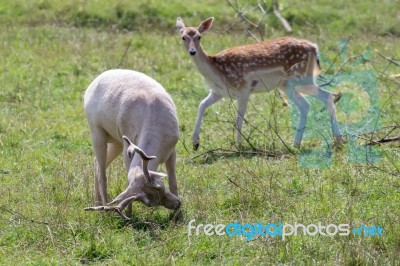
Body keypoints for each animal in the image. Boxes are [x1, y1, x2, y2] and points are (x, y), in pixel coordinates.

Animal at [83, 69, 180, 220]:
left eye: (160, 187)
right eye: (150, 203)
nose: (177, 204)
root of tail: (93, 82)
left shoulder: (172, 150)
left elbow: (173, 181)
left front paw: (177, 217)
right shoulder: (127, 144)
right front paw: (129, 213)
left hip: (116, 141)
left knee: (96, 163)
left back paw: (97, 203)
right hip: (96, 132)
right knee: (102, 173)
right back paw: (104, 209)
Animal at [177, 16, 342, 150]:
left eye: (199, 37)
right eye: (183, 37)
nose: (192, 51)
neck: (217, 72)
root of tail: (314, 47)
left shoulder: (243, 89)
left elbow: (239, 118)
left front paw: (239, 145)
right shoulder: (218, 92)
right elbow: (201, 105)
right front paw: (195, 143)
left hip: (301, 78)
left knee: (325, 96)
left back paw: (337, 140)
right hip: (288, 84)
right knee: (307, 104)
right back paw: (298, 143)